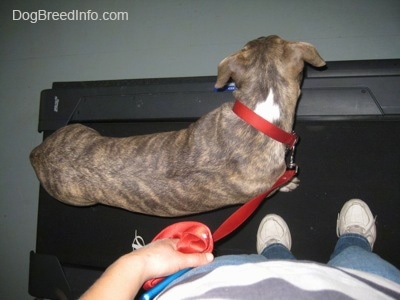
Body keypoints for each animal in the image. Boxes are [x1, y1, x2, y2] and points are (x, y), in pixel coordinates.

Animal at [30, 35, 324, 216]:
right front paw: (289, 183)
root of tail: (37, 154)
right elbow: (281, 182)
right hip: (76, 198)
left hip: (80, 130)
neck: (260, 114)